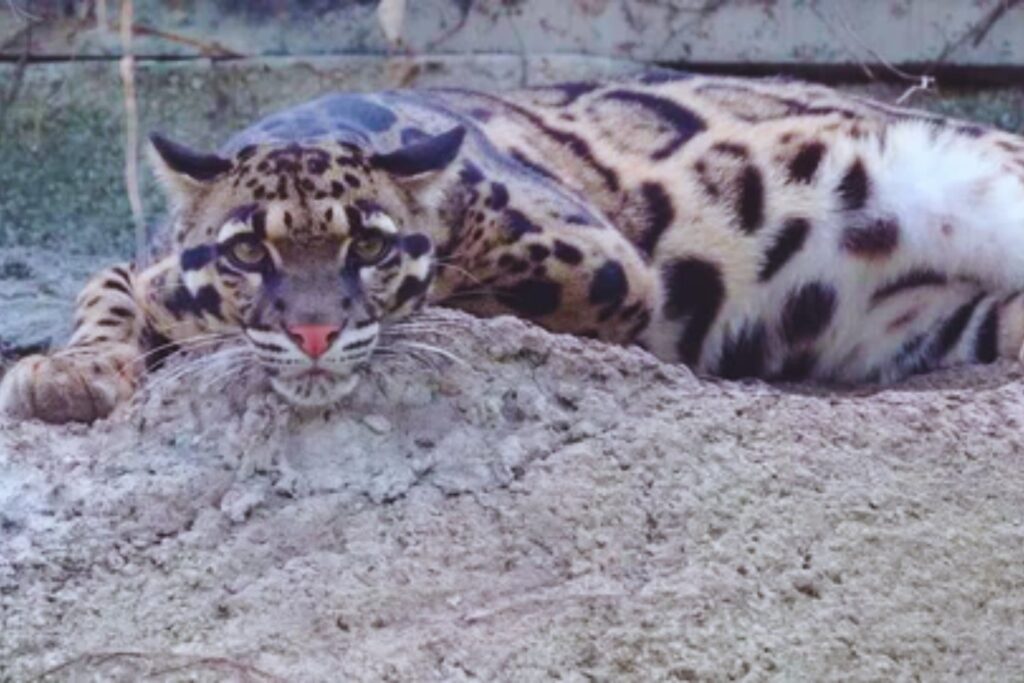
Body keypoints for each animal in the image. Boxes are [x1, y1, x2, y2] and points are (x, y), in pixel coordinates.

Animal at [6, 69, 1024, 423]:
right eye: (247, 253)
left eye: (370, 248)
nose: (313, 335)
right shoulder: (139, 263)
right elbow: (104, 297)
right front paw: (70, 372)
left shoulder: (600, 262)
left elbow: (464, 290)